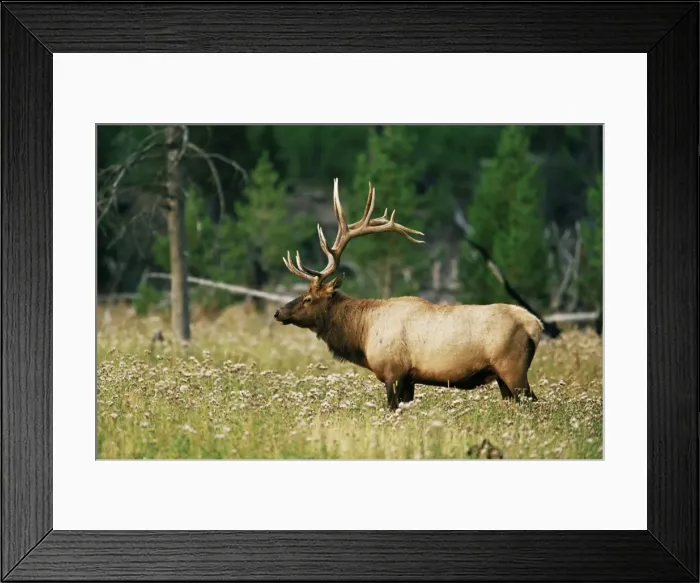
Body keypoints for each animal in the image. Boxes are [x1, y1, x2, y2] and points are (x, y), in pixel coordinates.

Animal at [273, 178, 544, 410]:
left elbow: (392, 408)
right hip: (502, 377)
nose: (278, 312)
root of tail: (536, 325)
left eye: (308, 298)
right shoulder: (410, 379)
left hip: (512, 368)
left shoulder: (393, 371)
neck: (362, 332)